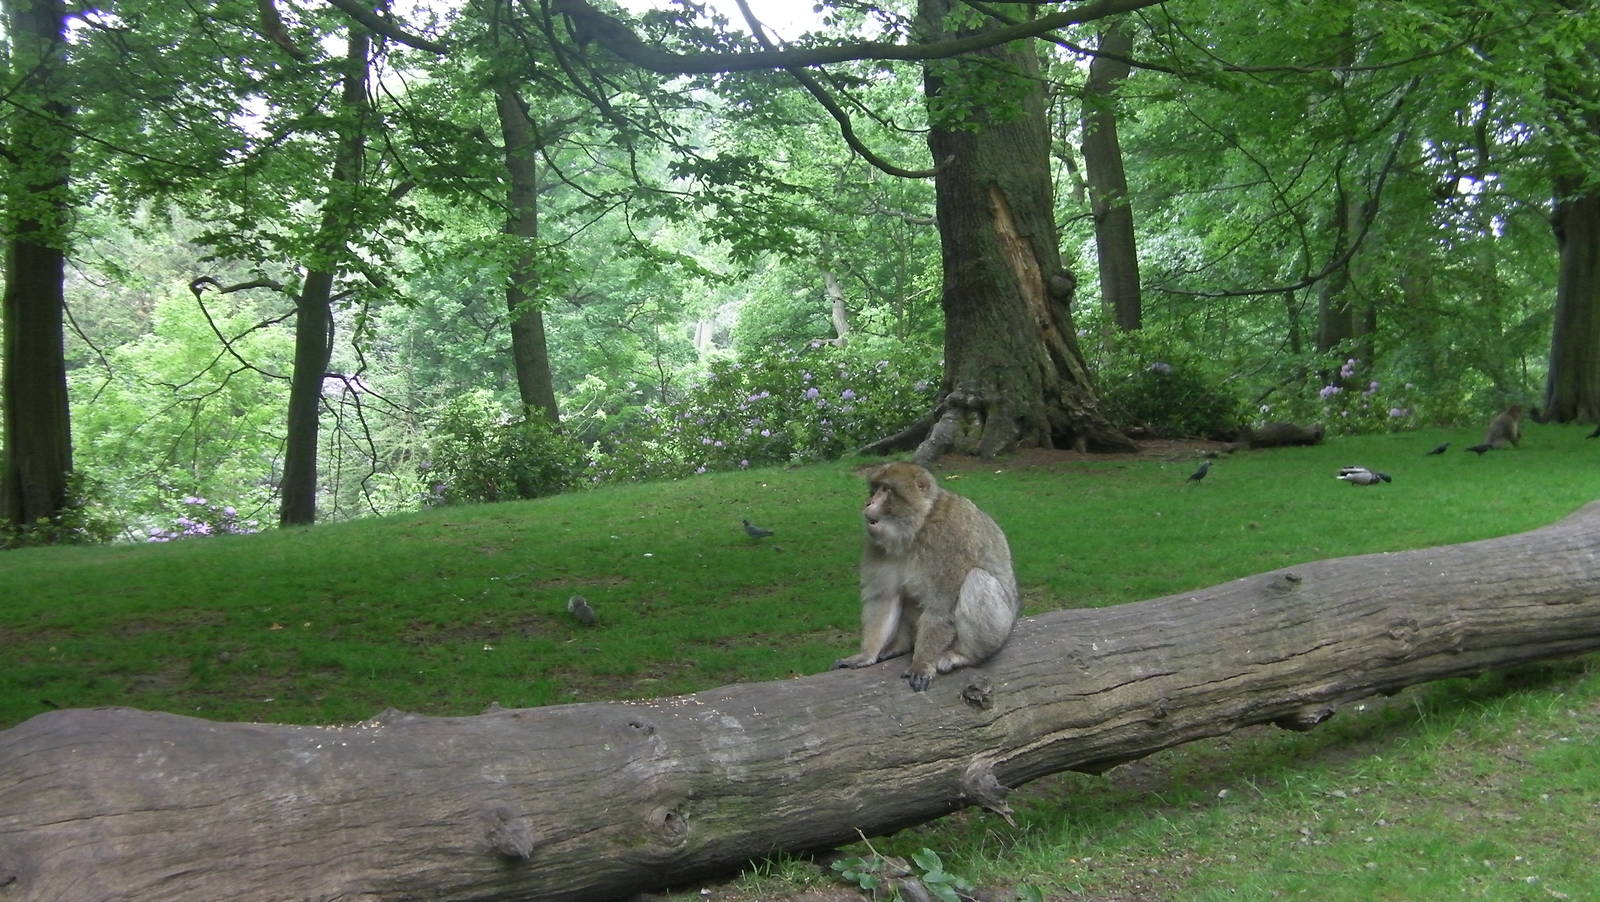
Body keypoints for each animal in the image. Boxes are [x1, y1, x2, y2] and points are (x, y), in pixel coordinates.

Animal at [835, 462, 1019, 692]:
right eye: (875, 488)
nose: (869, 502)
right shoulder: (876, 546)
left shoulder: (950, 539)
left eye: (886, 490)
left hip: (1001, 629)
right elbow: (883, 600)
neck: (917, 529)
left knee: (976, 579)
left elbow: (940, 610)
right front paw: (867, 654)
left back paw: (963, 656)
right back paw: (900, 646)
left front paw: (921, 664)